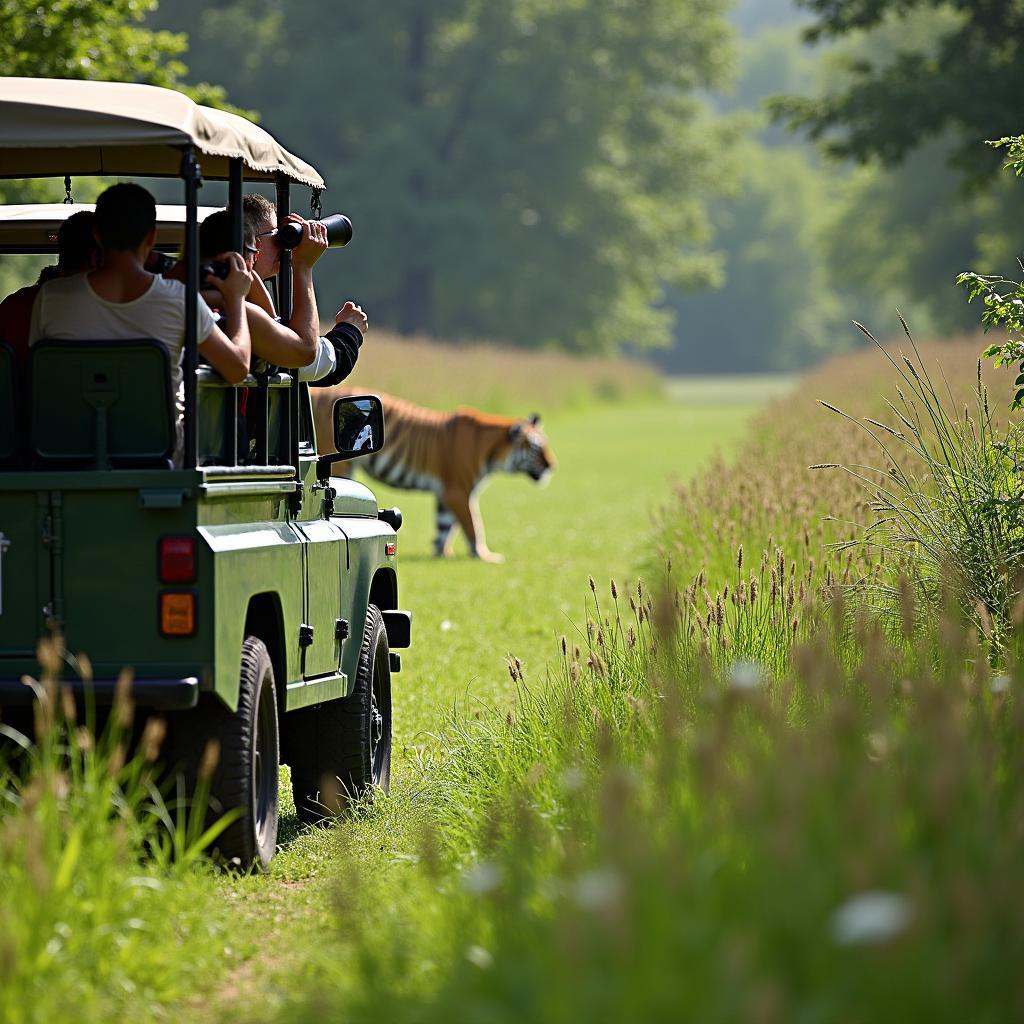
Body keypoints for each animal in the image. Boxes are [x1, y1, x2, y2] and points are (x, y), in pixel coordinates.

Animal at [311, 385, 557, 565]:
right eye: (536, 448)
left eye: (545, 444)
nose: (552, 466)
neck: (493, 454)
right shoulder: (458, 491)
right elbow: (472, 524)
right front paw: (484, 555)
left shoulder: (445, 494)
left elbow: (444, 527)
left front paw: (441, 555)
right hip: (342, 466)